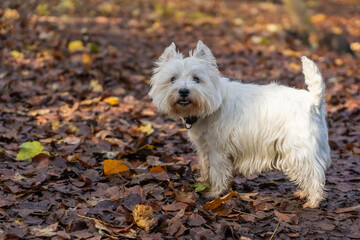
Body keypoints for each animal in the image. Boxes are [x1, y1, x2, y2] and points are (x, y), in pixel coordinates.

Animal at [149, 41, 332, 208]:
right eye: (172, 79)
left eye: (196, 79)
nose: (183, 91)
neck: (211, 105)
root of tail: (313, 100)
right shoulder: (204, 146)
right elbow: (205, 165)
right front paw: (204, 181)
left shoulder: (218, 149)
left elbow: (217, 170)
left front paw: (214, 193)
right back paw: (303, 193)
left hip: (299, 148)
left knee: (313, 173)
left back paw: (313, 201)